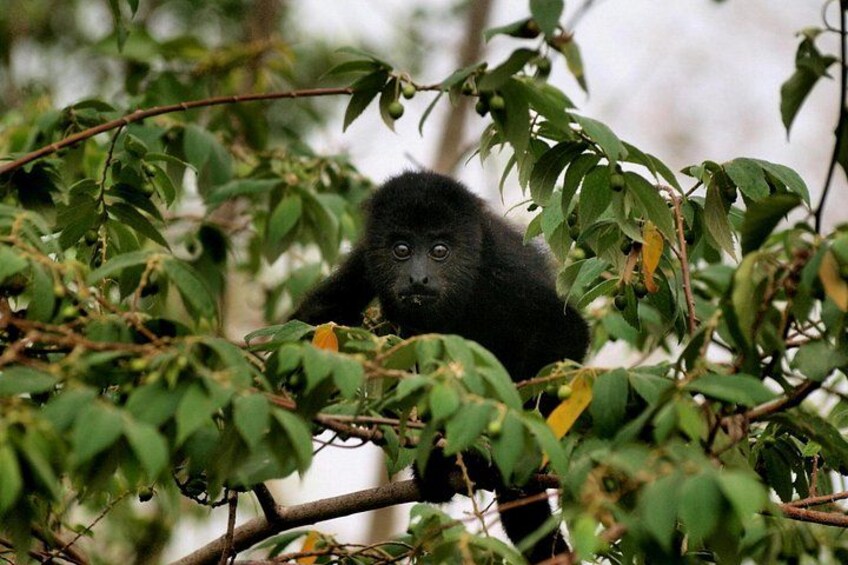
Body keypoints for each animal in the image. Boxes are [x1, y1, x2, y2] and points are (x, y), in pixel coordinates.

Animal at [290, 171, 589, 563]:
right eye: (402, 249)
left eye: (439, 251)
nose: (418, 278)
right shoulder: (365, 261)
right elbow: (321, 316)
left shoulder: (506, 268)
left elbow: (566, 330)